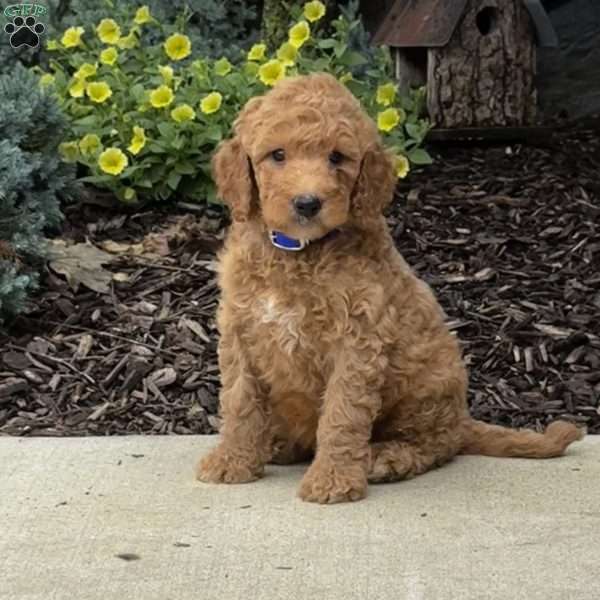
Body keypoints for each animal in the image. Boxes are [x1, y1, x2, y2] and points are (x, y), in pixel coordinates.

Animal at [197, 72, 584, 502]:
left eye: (337, 158)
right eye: (277, 155)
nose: (307, 203)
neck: (298, 252)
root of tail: (462, 419)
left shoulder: (357, 341)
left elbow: (342, 413)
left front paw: (332, 480)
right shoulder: (240, 330)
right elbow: (239, 401)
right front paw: (231, 461)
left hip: (427, 389)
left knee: (432, 445)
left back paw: (384, 457)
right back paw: (278, 444)